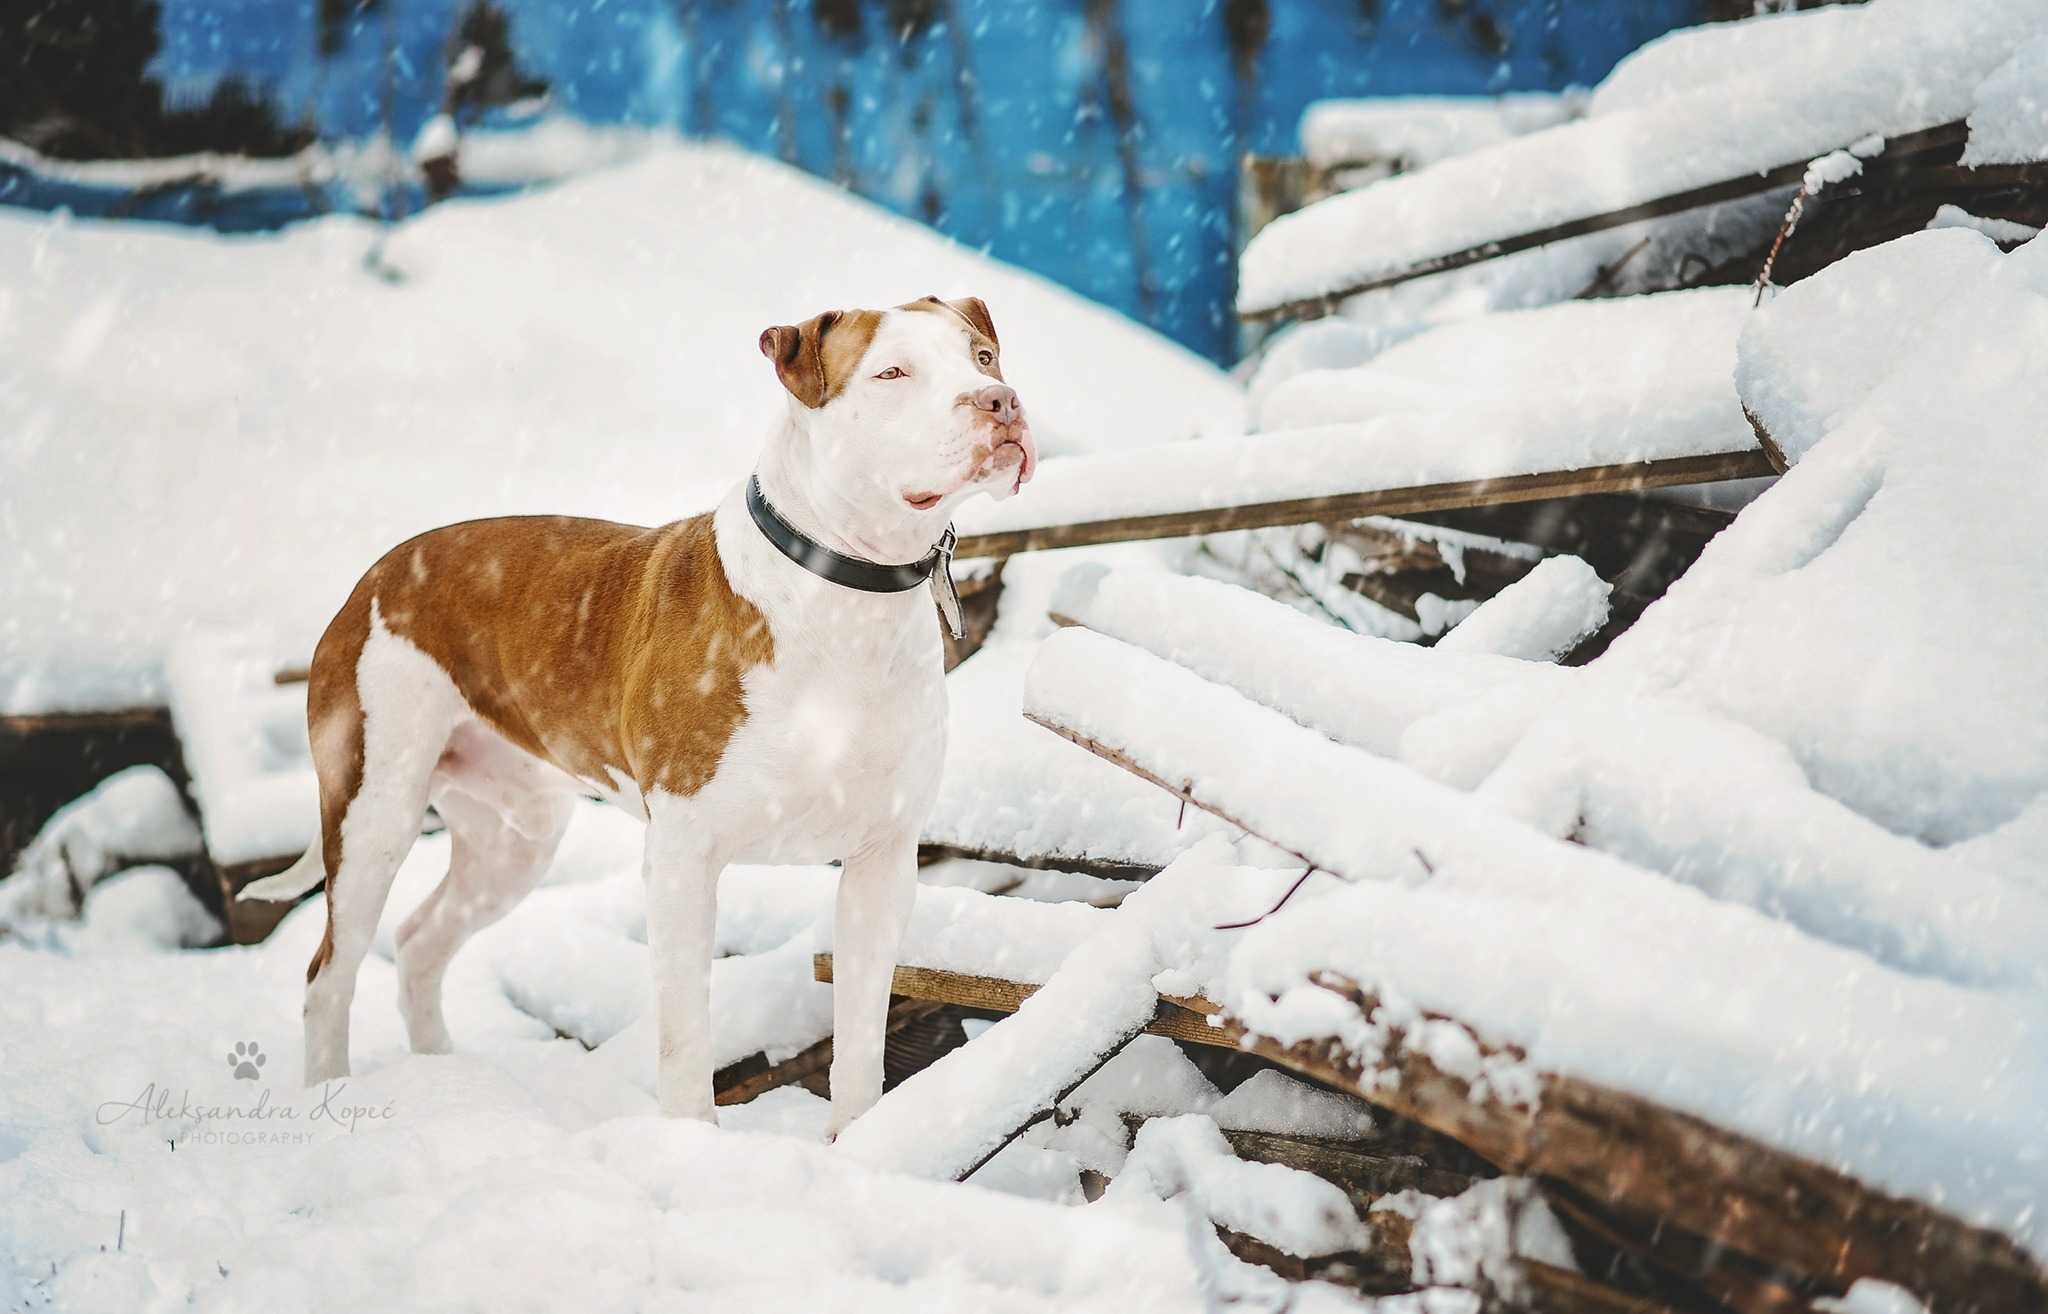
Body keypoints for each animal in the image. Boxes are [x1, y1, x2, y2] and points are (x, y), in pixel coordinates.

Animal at [243, 294, 1040, 1129]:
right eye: (891, 373)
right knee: (329, 973)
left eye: (982, 356)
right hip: (374, 814)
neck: (847, 594)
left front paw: (858, 1145)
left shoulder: (881, 861)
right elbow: (685, 1041)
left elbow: (860, 1043)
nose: (1001, 402)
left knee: (422, 941)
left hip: (514, 840)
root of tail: (375, 573)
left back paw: (448, 1081)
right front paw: (694, 1144)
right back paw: (332, 1094)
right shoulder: (685, 858)